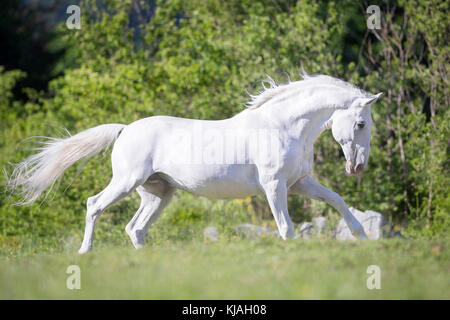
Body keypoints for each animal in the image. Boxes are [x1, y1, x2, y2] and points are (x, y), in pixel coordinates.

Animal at [7, 72, 382, 252]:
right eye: (361, 124)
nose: (357, 167)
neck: (282, 126)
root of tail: (125, 128)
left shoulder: (299, 183)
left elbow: (337, 200)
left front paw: (362, 237)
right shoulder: (274, 186)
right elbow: (286, 227)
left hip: (158, 193)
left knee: (135, 228)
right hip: (127, 182)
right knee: (94, 205)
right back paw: (85, 252)